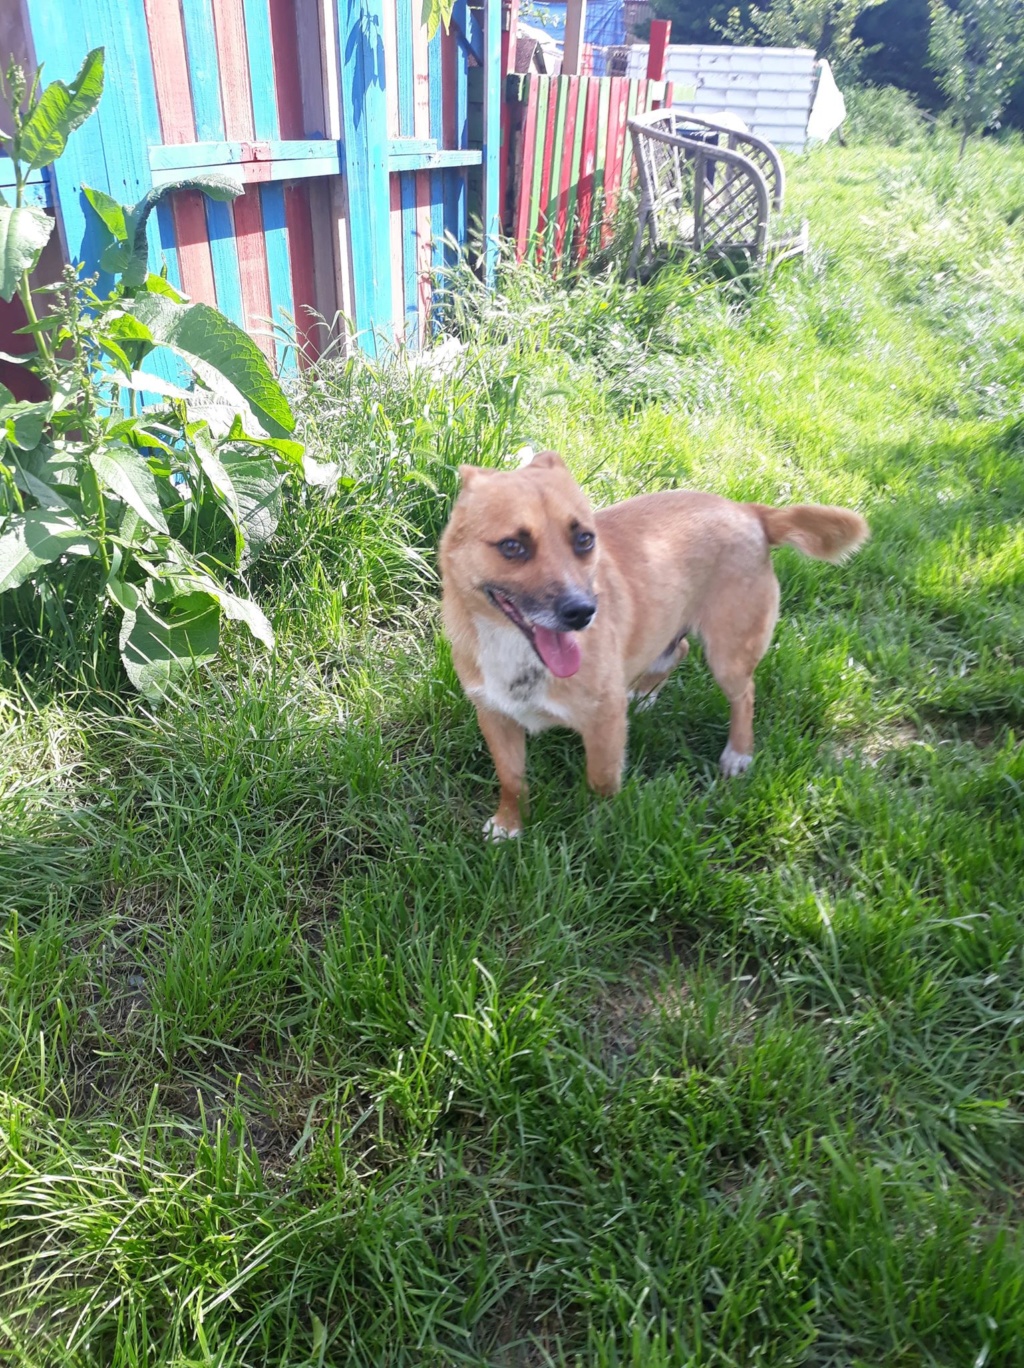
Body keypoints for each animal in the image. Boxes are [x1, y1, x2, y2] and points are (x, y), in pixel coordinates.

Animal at [434, 451, 869, 831]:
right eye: (512, 546)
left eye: (584, 540)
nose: (583, 612)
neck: (516, 649)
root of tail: (749, 511)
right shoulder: (495, 715)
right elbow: (511, 780)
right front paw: (509, 825)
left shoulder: (603, 724)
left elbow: (601, 782)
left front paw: (599, 830)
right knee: (678, 649)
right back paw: (644, 694)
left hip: (729, 653)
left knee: (743, 694)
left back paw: (738, 753)